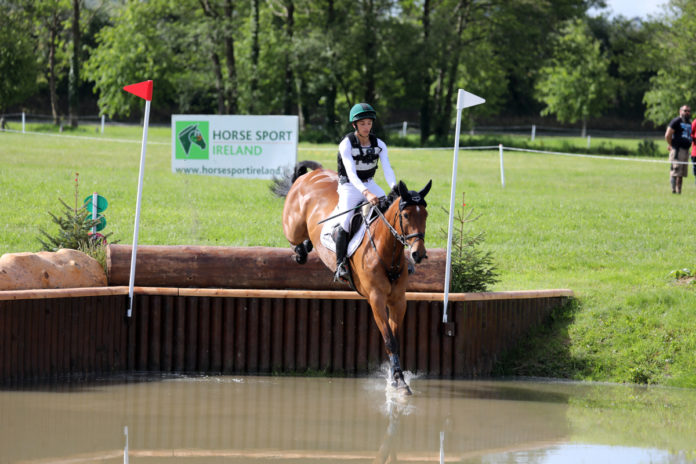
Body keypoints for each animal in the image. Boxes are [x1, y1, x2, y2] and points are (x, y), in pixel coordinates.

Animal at [273, 160, 431, 395]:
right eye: (406, 216)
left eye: (426, 215)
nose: (417, 254)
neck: (386, 251)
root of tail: (313, 174)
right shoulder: (376, 299)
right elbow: (389, 340)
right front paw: (399, 381)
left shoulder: (398, 300)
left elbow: (394, 338)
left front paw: (396, 378)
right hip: (293, 226)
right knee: (296, 239)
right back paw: (302, 251)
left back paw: (308, 246)